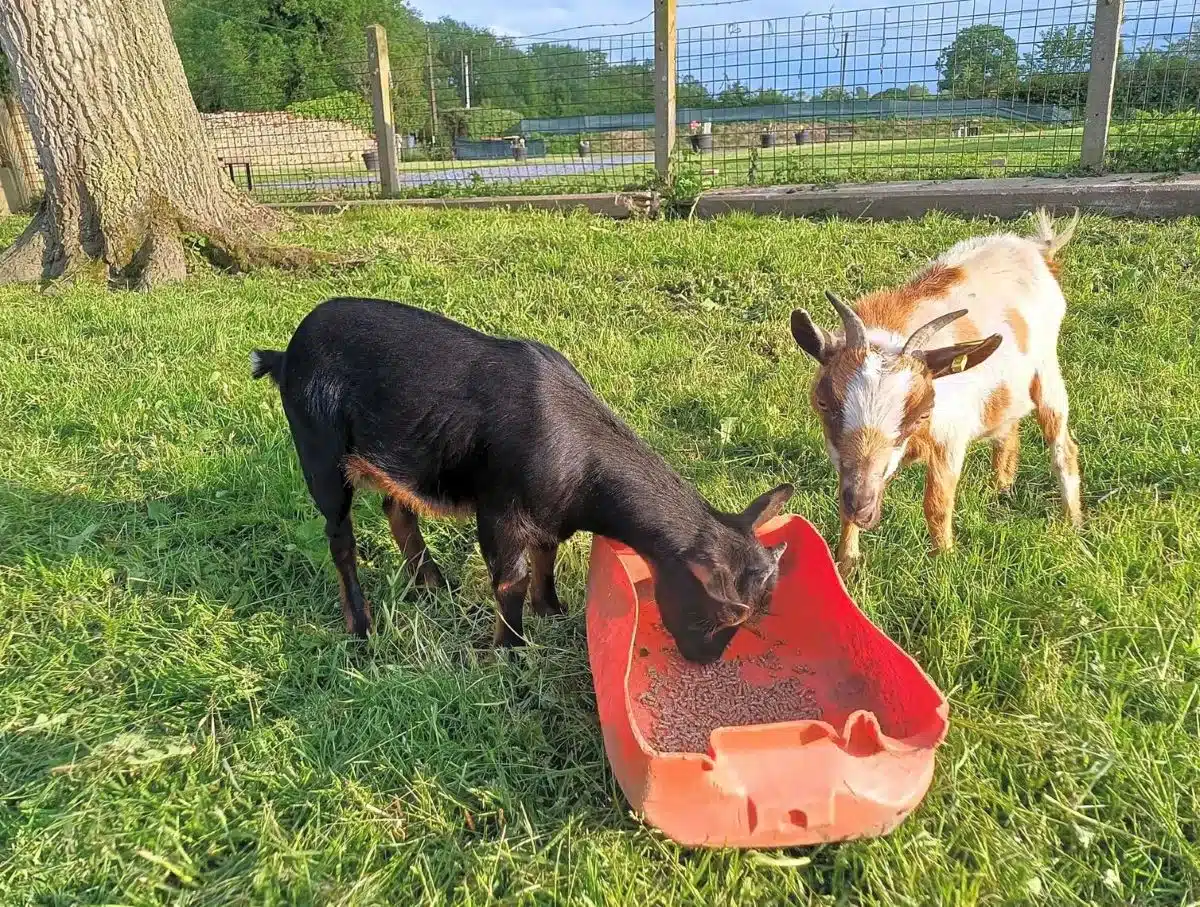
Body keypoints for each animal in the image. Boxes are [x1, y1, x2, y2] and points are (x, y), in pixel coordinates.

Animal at [253, 301, 792, 662]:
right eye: (721, 614)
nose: (705, 660)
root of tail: (285, 353)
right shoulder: (500, 512)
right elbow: (510, 578)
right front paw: (509, 651)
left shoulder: (548, 516)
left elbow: (546, 556)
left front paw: (552, 610)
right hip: (318, 449)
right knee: (339, 537)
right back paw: (362, 627)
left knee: (397, 508)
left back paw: (434, 584)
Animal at [792, 208, 1084, 571]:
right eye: (823, 403)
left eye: (922, 413)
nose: (862, 506)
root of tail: (1036, 249)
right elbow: (844, 499)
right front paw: (846, 562)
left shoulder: (950, 438)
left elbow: (937, 503)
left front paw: (944, 562)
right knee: (1008, 429)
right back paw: (1001, 490)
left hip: (1046, 372)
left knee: (1063, 446)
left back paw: (1073, 523)